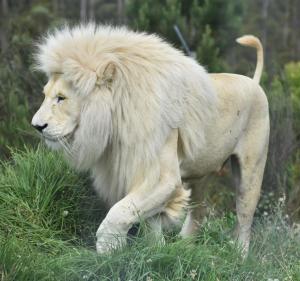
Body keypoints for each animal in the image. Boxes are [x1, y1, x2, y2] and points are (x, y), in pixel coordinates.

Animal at [31, 24, 268, 254]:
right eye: (45, 94)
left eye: (61, 98)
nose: (36, 126)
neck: (117, 117)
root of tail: (253, 82)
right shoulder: (139, 171)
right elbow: (146, 220)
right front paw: (158, 252)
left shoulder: (163, 178)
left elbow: (119, 211)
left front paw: (109, 249)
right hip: (201, 174)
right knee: (199, 211)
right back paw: (184, 246)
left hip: (251, 172)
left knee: (244, 219)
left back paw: (238, 256)